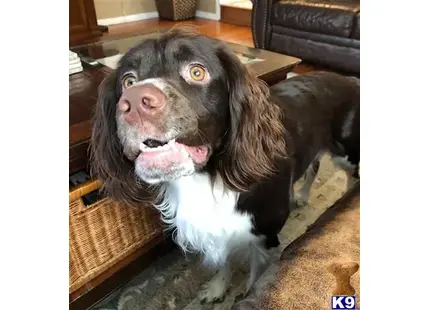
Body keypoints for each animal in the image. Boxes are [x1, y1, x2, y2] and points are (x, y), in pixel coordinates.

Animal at [90, 29, 360, 302]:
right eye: (128, 81)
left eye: (197, 72)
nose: (133, 102)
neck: (207, 178)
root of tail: (349, 79)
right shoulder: (215, 232)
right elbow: (224, 262)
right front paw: (217, 288)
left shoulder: (264, 234)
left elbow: (255, 272)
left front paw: (244, 293)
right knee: (313, 168)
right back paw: (302, 196)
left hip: (347, 152)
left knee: (352, 175)